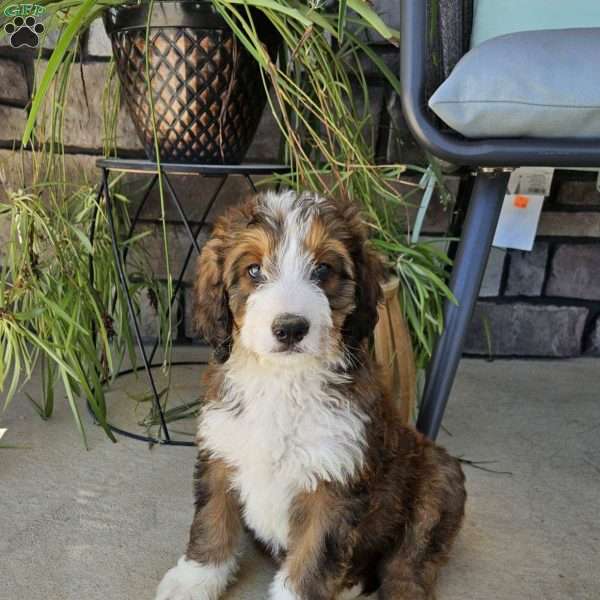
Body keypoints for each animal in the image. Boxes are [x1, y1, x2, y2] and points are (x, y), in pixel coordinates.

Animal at [157, 189, 466, 600]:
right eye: (253, 270)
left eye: (322, 270)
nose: (290, 328)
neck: (283, 381)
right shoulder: (222, 452)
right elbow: (212, 522)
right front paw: (193, 581)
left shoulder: (333, 486)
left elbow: (311, 562)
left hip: (438, 478)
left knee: (409, 562)